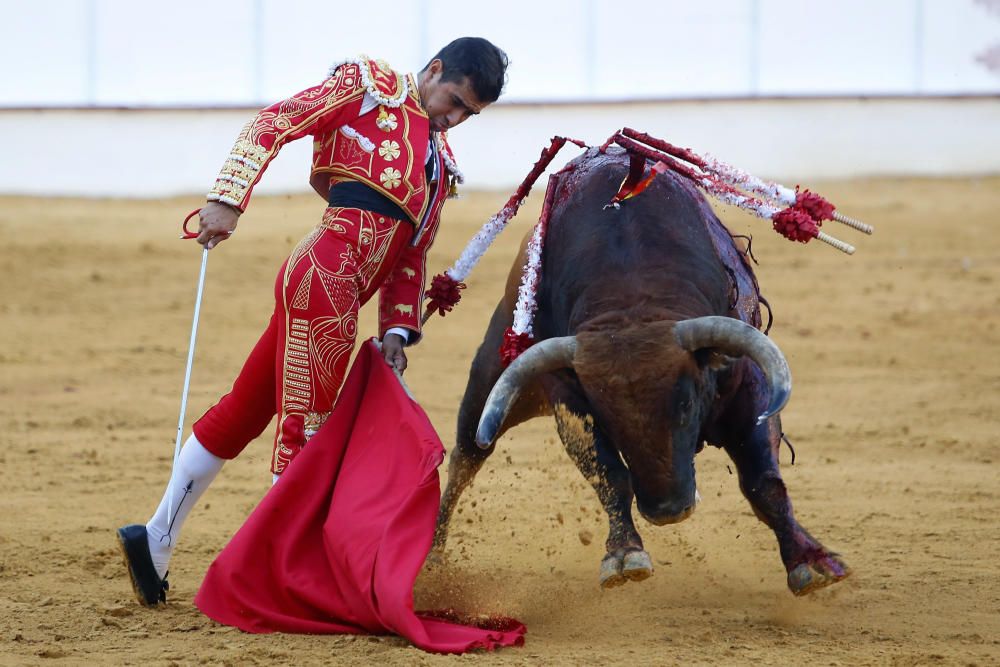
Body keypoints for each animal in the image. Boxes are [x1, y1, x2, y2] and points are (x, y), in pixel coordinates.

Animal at [434, 147, 848, 596]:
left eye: (686, 405)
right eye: (609, 419)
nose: (668, 511)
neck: (633, 302)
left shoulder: (748, 385)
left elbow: (763, 480)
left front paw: (810, 562)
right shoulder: (570, 399)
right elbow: (611, 476)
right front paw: (623, 555)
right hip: (490, 377)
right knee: (465, 460)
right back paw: (432, 563)